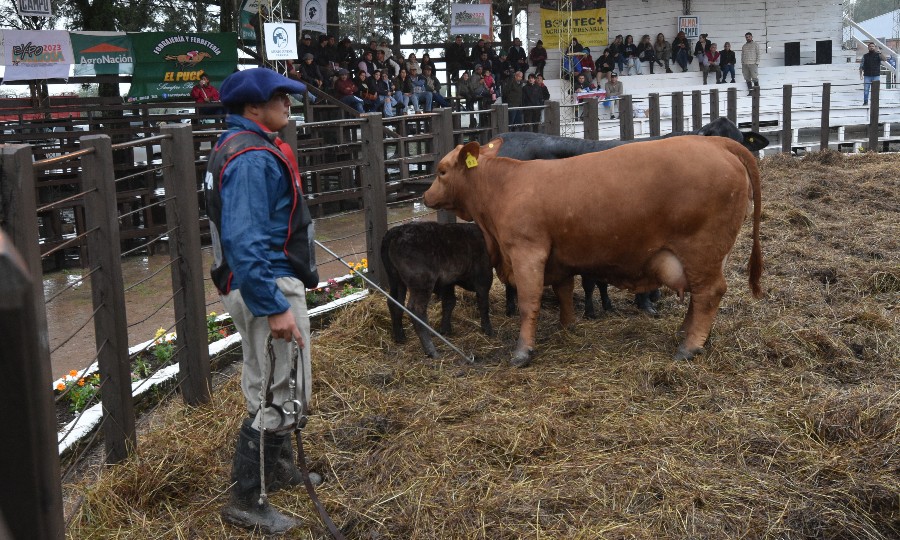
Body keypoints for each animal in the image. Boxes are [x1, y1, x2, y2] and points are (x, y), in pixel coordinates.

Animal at [422, 135, 760, 368]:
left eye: (441, 171)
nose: (425, 196)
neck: (504, 186)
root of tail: (715, 142)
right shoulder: (557, 258)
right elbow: (564, 293)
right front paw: (568, 327)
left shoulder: (527, 251)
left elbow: (528, 303)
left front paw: (522, 352)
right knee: (700, 297)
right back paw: (688, 334)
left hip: (701, 249)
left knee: (708, 293)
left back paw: (689, 347)